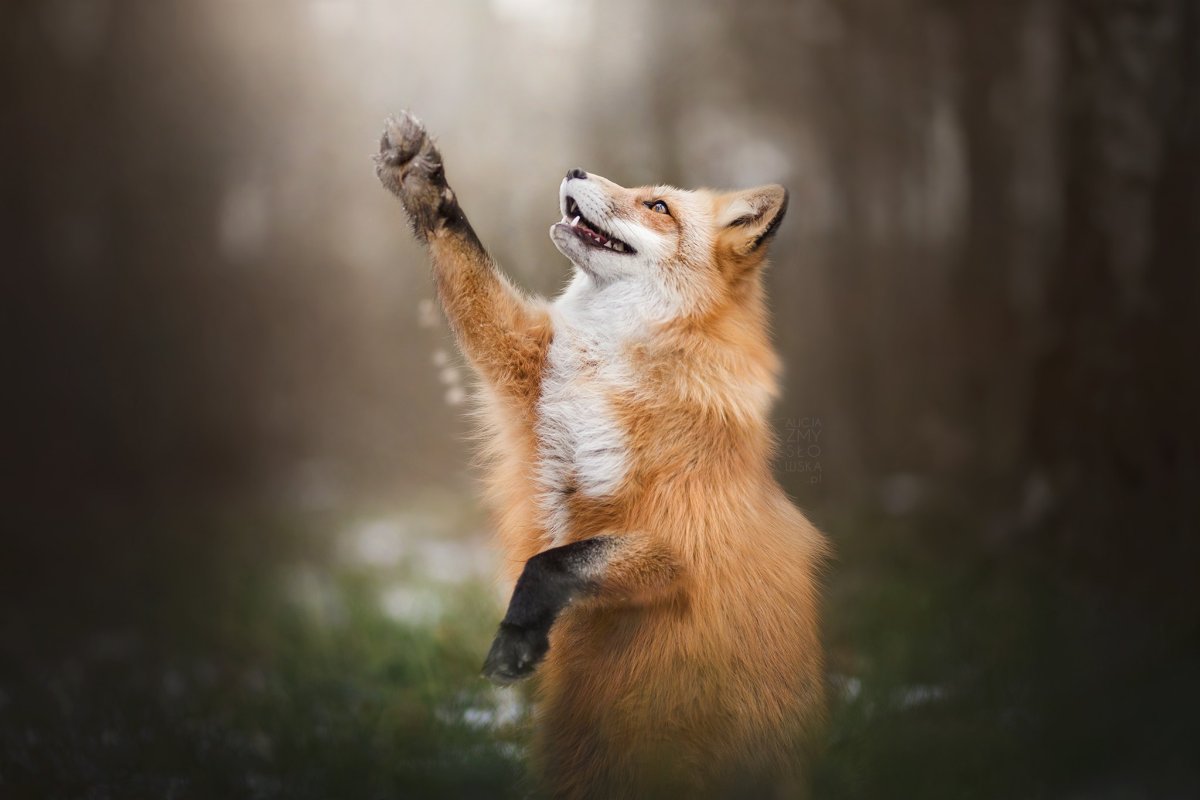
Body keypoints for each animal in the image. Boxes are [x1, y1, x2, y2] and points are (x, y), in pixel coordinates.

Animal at [374, 111, 828, 798]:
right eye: (646, 193)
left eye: (658, 206)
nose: (574, 169)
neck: (606, 364)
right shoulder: (525, 375)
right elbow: (471, 275)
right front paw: (423, 185)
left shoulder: (680, 540)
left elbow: (553, 563)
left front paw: (518, 635)